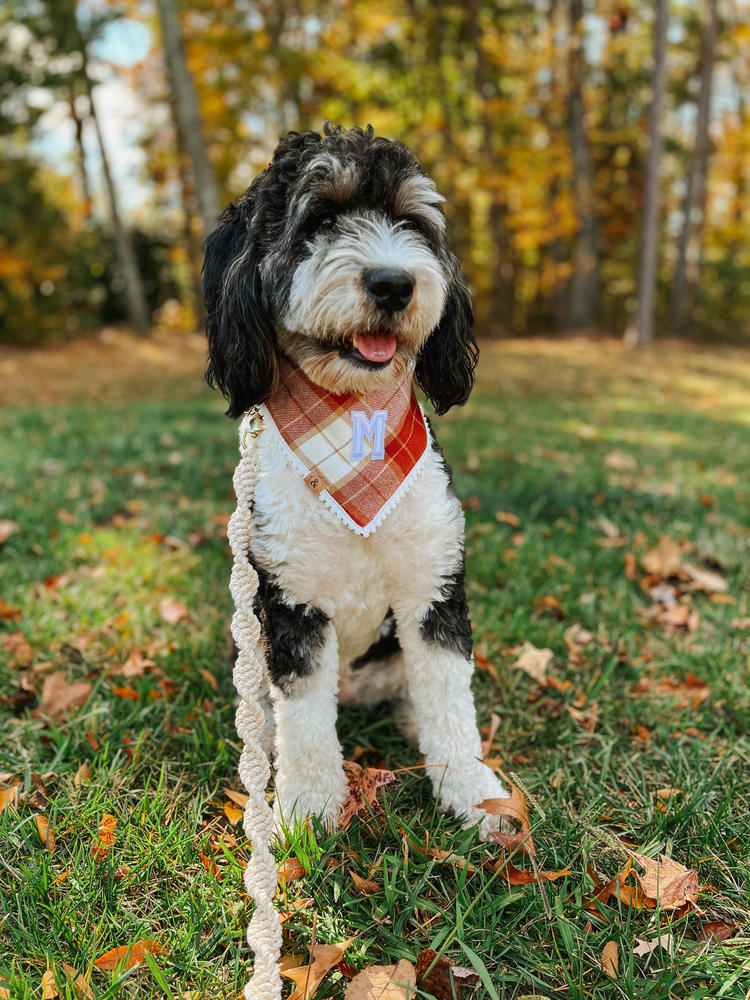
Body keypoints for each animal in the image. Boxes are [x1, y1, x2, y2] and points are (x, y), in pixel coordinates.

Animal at [206, 127, 508, 844]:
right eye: (320, 220)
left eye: (412, 223)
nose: (394, 282)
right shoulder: (292, 608)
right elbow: (306, 727)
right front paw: (308, 809)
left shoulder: (432, 590)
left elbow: (450, 706)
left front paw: (471, 794)